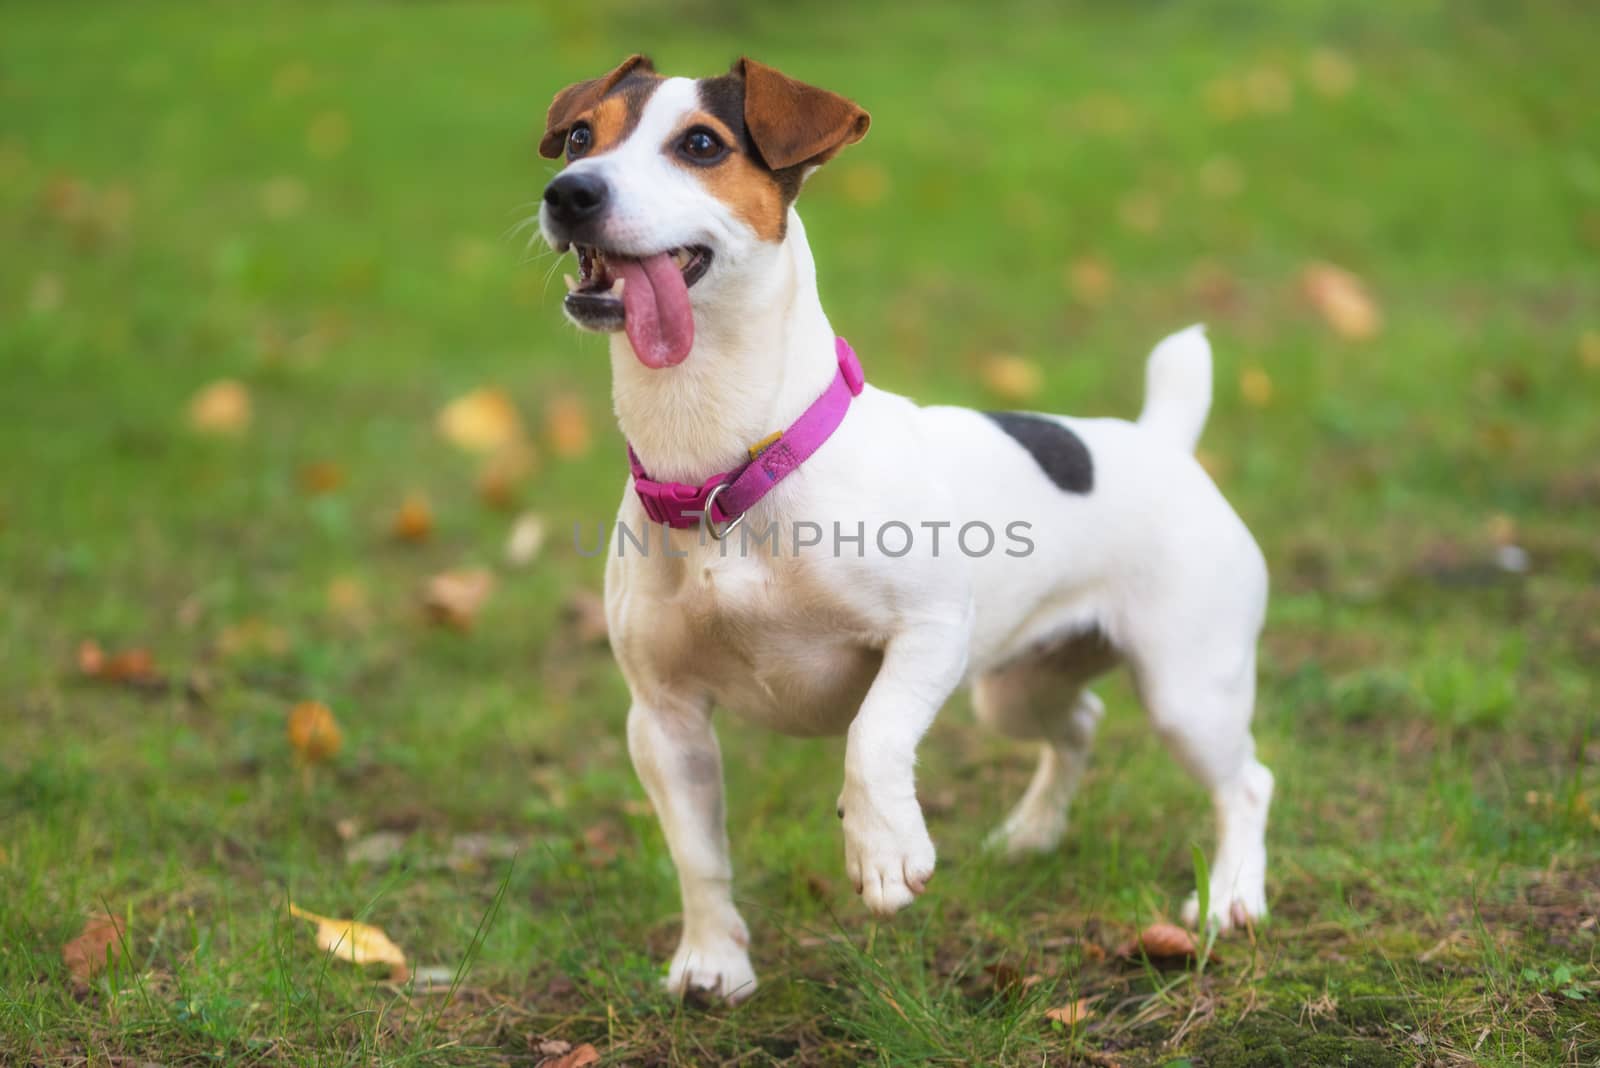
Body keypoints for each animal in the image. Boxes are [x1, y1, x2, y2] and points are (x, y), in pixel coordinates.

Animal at [537, 54, 1273, 1004]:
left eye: (701, 144)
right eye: (579, 136)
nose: (568, 192)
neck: (727, 473)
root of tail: (1161, 440)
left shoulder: (929, 632)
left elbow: (873, 732)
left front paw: (884, 849)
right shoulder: (663, 717)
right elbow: (697, 852)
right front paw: (713, 960)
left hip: (1189, 690)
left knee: (1246, 783)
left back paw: (1231, 898)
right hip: (1017, 688)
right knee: (1078, 724)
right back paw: (1032, 833)